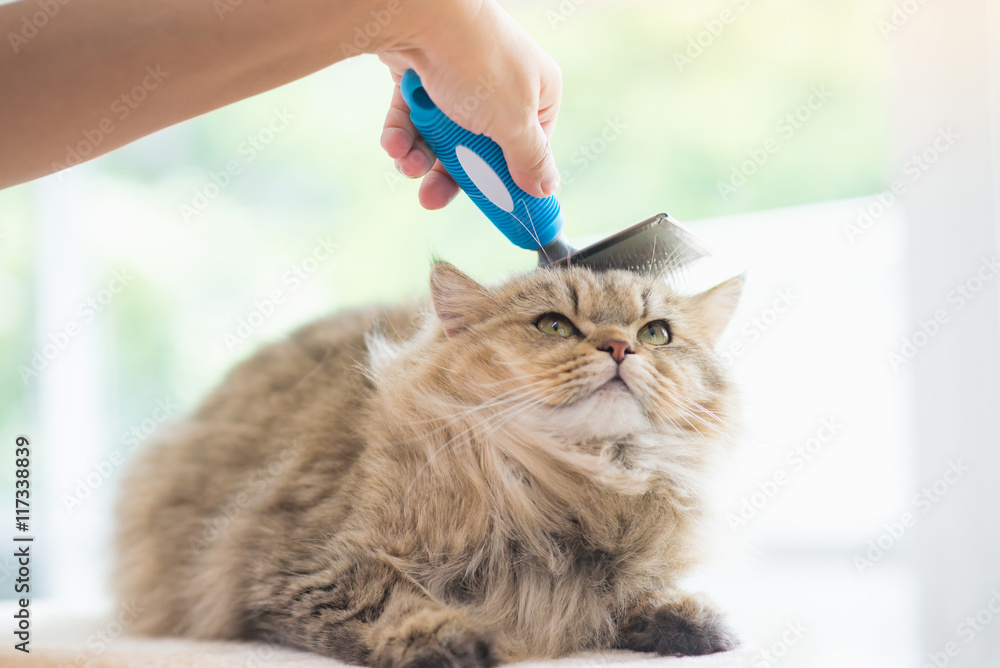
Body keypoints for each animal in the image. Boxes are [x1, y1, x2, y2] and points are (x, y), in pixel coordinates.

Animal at [115, 264, 744, 664]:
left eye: (656, 333)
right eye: (555, 325)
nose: (619, 347)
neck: (565, 492)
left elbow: (638, 593)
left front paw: (684, 619)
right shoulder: (303, 569)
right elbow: (391, 602)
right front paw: (451, 638)